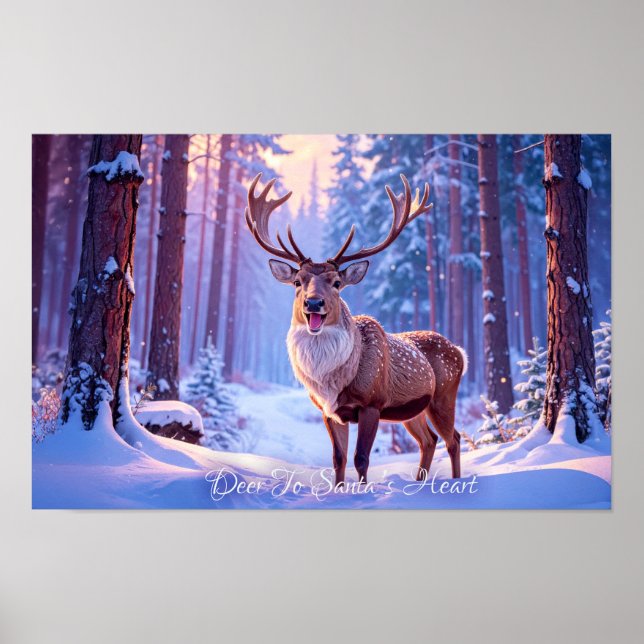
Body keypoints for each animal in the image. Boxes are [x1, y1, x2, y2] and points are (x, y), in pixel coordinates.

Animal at [244, 173, 467, 487]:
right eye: (298, 281)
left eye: (337, 282)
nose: (314, 303)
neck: (331, 382)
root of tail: (460, 351)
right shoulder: (328, 411)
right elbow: (338, 459)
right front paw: (339, 489)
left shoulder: (371, 402)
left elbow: (361, 458)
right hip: (412, 410)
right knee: (429, 440)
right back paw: (419, 482)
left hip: (444, 396)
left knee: (454, 439)